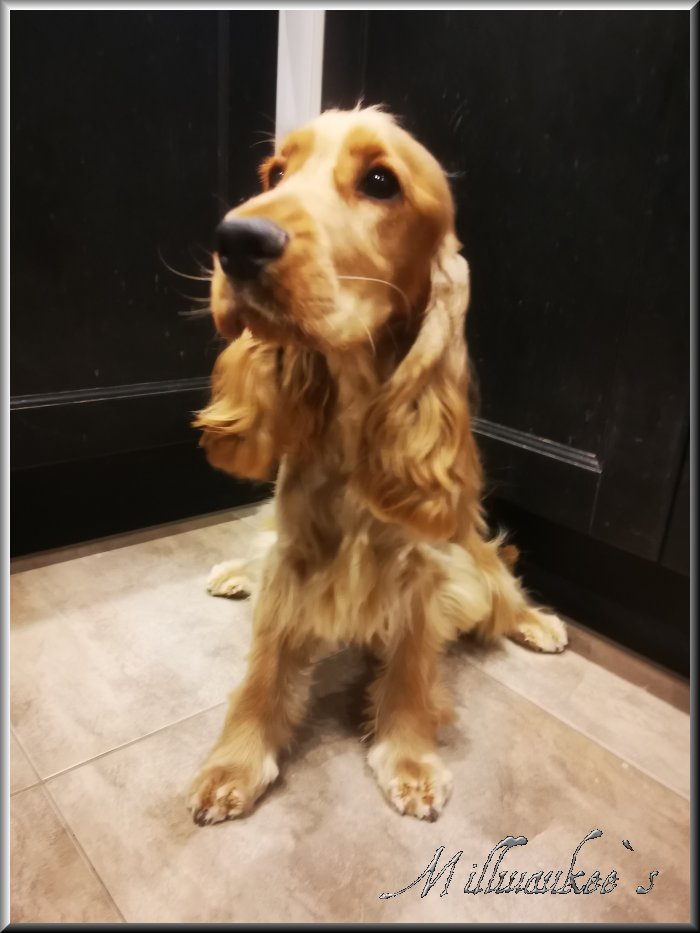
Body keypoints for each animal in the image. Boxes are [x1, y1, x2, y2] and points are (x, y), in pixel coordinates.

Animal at [187, 105, 567, 826]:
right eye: (275, 173)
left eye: (381, 182)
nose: (234, 240)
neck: (351, 416)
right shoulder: (294, 557)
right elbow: (265, 664)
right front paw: (235, 762)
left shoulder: (422, 569)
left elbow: (412, 668)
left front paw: (410, 759)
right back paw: (232, 572)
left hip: (469, 555)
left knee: (498, 581)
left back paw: (537, 622)